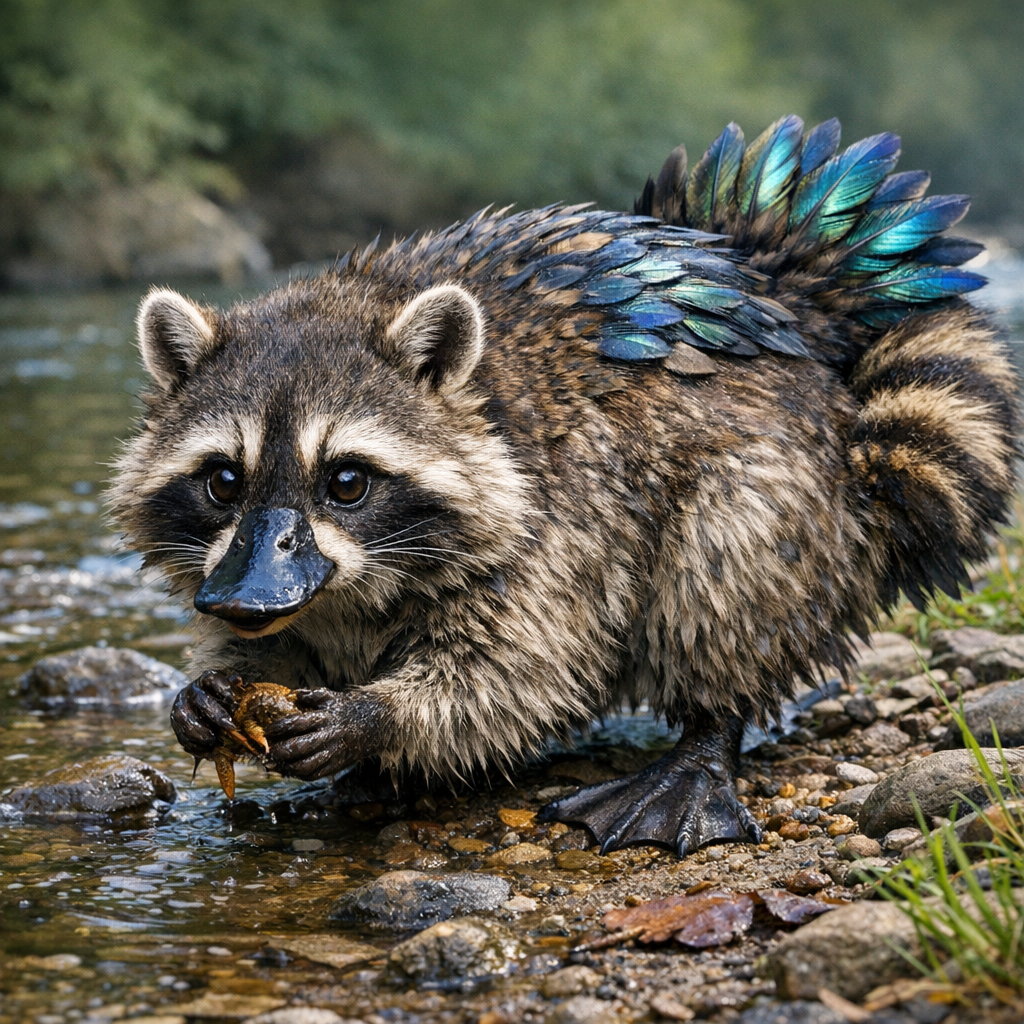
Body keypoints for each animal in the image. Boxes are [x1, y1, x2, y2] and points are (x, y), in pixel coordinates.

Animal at [110, 116, 1018, 855]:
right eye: (223, 481)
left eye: (346, 481)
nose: (241, 599)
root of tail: (791, 293)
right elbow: (287, 644)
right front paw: (213, 684)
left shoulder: (564, 511)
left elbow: (527, 670)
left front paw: (381, 716)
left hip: (780, 475)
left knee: (727, 570)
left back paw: (703, 739)